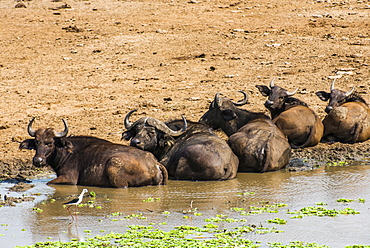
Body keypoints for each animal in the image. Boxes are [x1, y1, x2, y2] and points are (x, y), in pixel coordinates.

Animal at [20, 118, 168, 188]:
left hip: (114, 168)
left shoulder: (69, 179)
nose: (37, 160)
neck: (68, 152)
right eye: (36, 142)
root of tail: (154, 163)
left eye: (50, 142)